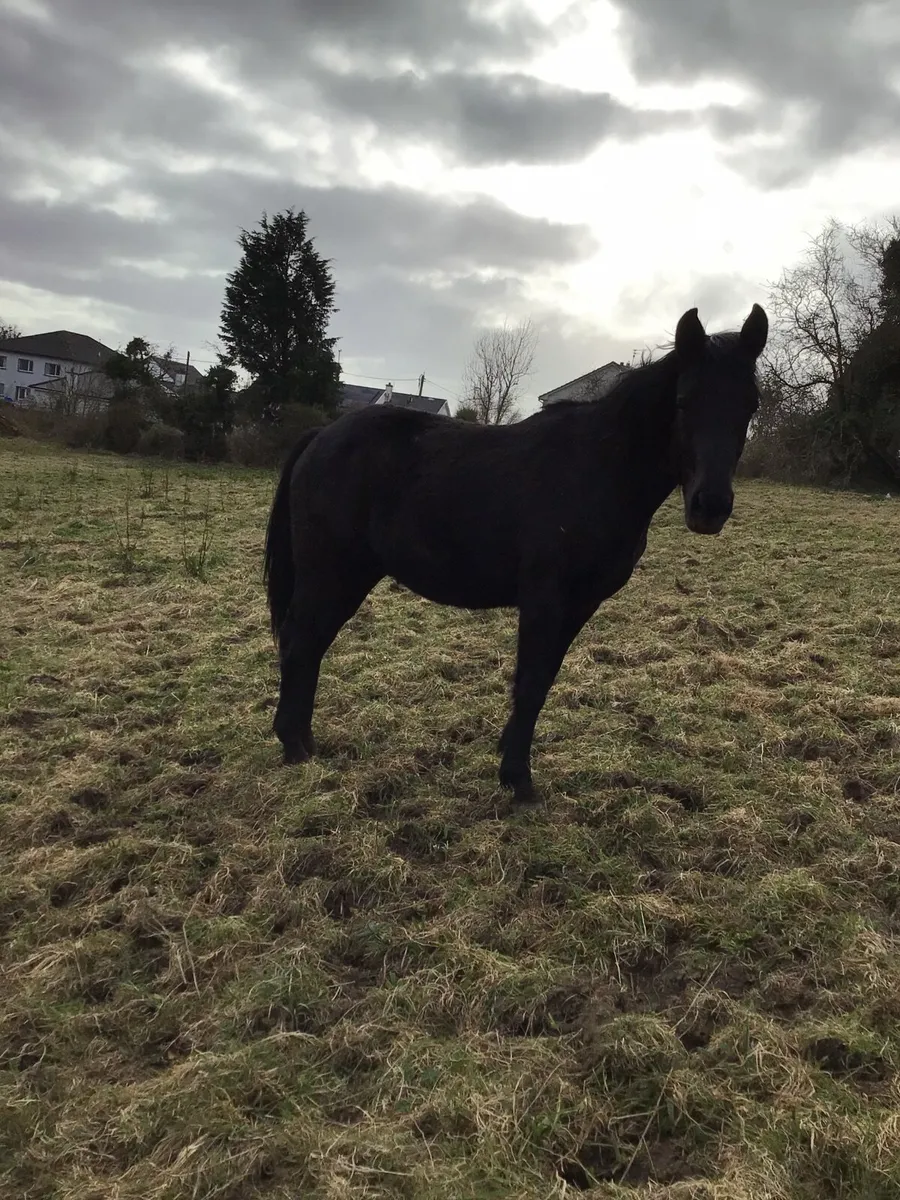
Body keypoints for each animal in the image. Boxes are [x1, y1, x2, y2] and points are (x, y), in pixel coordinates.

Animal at [264, 304, 768, 804]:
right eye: (684, 401)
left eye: (752, 405)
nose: (710, 507)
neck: (599, 470)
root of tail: (321, 435)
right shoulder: (545, 599)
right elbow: (530, 682)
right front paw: (518, 780)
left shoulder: (580, 604)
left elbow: (543, 680)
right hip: (331, 573)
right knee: (300, 640)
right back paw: (294, 747)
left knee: (312, 643)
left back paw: (305, 741)